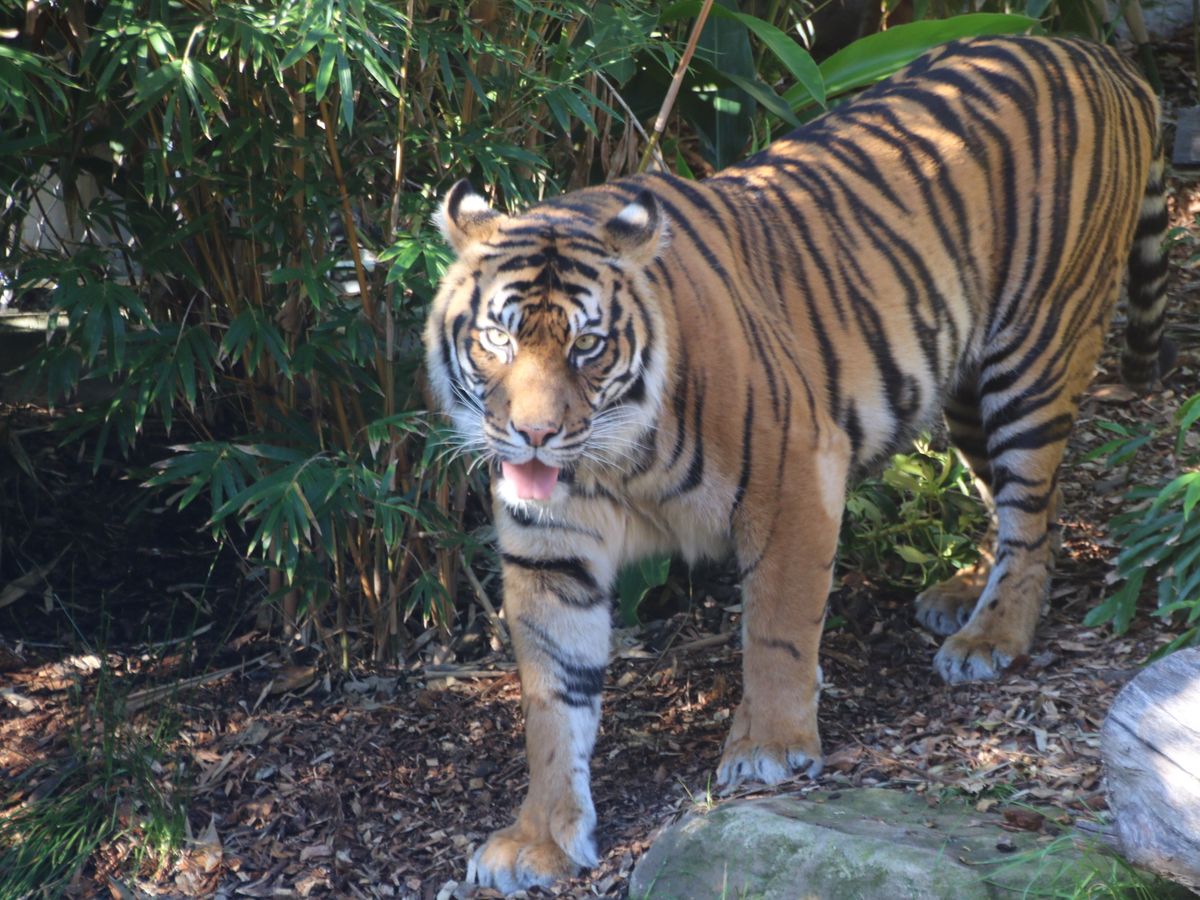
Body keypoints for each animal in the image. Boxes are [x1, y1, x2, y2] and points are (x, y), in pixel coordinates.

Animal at [423, 34, 1169, 892]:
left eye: (588, 345)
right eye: (499, 338)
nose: (535, 435)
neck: (615, 459)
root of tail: (1092, 51)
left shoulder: (794, 473)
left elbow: (778, 627)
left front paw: (770, 749)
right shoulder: (550, 548)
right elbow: (553, 697)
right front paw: (540, 838)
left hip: (1034, 356)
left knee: (1033, 516)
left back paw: (991, 637)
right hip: (968, 388)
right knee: (1019, 504)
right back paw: (962, 596)